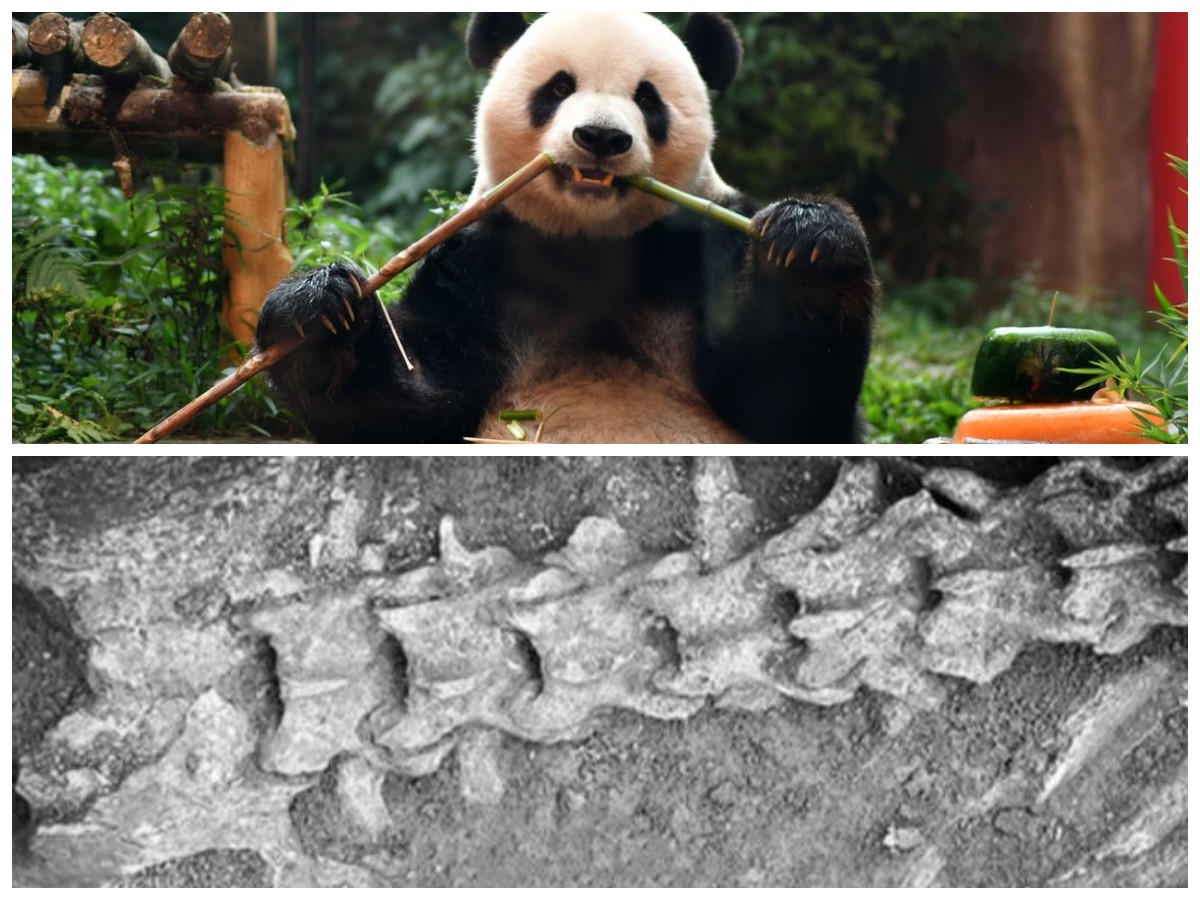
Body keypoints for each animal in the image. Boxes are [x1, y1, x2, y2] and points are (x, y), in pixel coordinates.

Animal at [255, 12, 877, 443]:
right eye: (558, 88)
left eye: (647, 98)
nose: (601, 137)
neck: (591, 244)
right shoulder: (480, 262)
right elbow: (413, 405)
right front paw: (316, 315)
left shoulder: (702, 246)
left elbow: (786, 400)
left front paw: (810, 249)